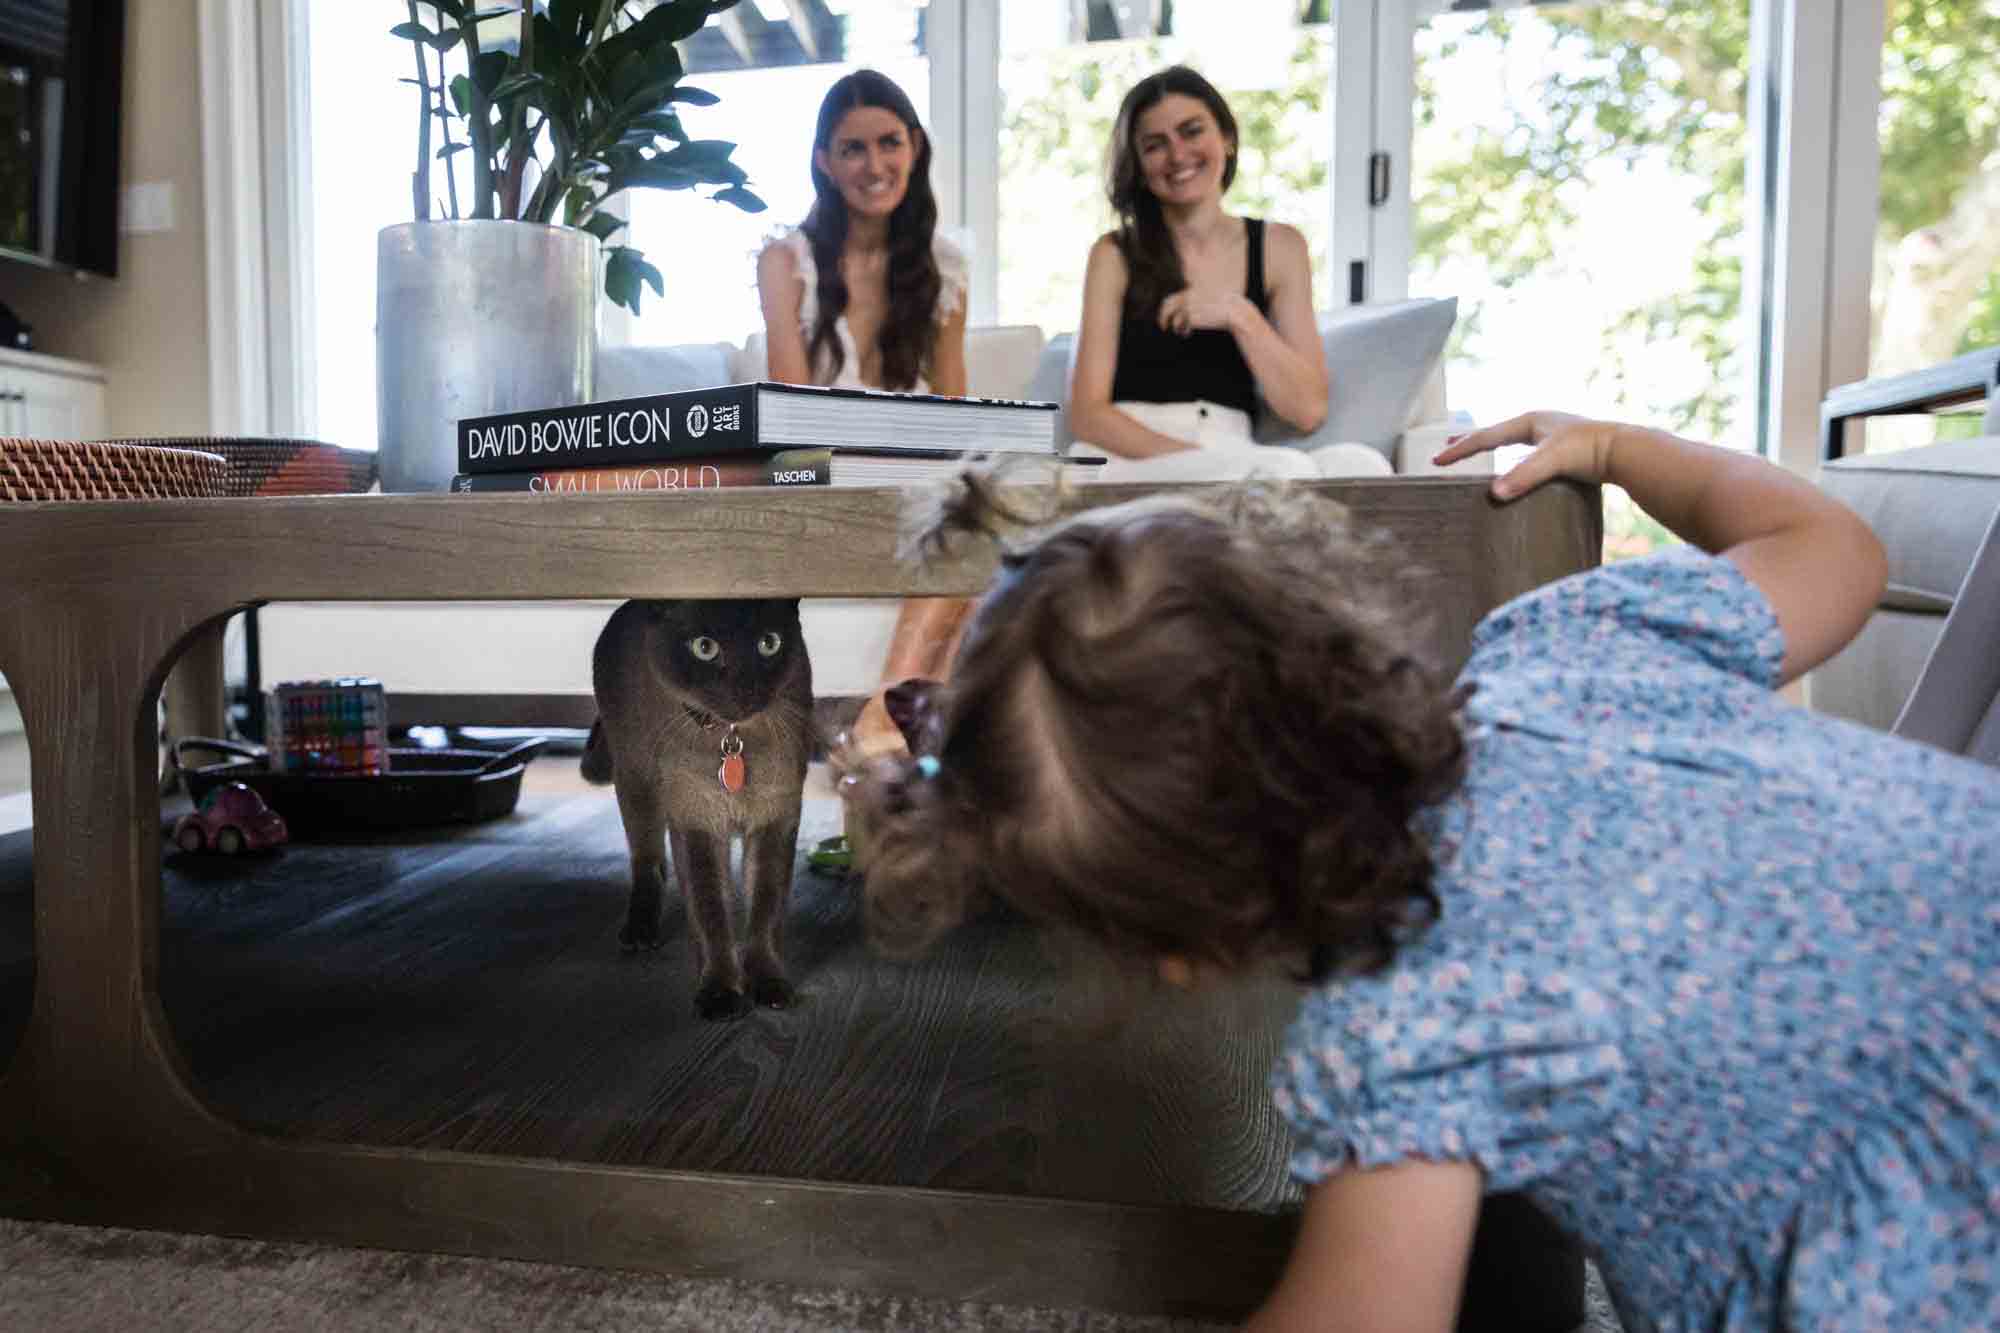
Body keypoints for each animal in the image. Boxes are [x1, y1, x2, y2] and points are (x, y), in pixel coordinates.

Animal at [584, 596, 816, 1020]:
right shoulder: (697, 825)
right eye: (704, 648)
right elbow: (710, 913)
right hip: (637, 784)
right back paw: (640, 932)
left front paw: (769, 986)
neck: (732, 739)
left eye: (769, 643)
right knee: (649, 863)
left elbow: (765, 911)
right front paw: (720, 994)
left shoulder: (775, 820)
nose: (745, 689)